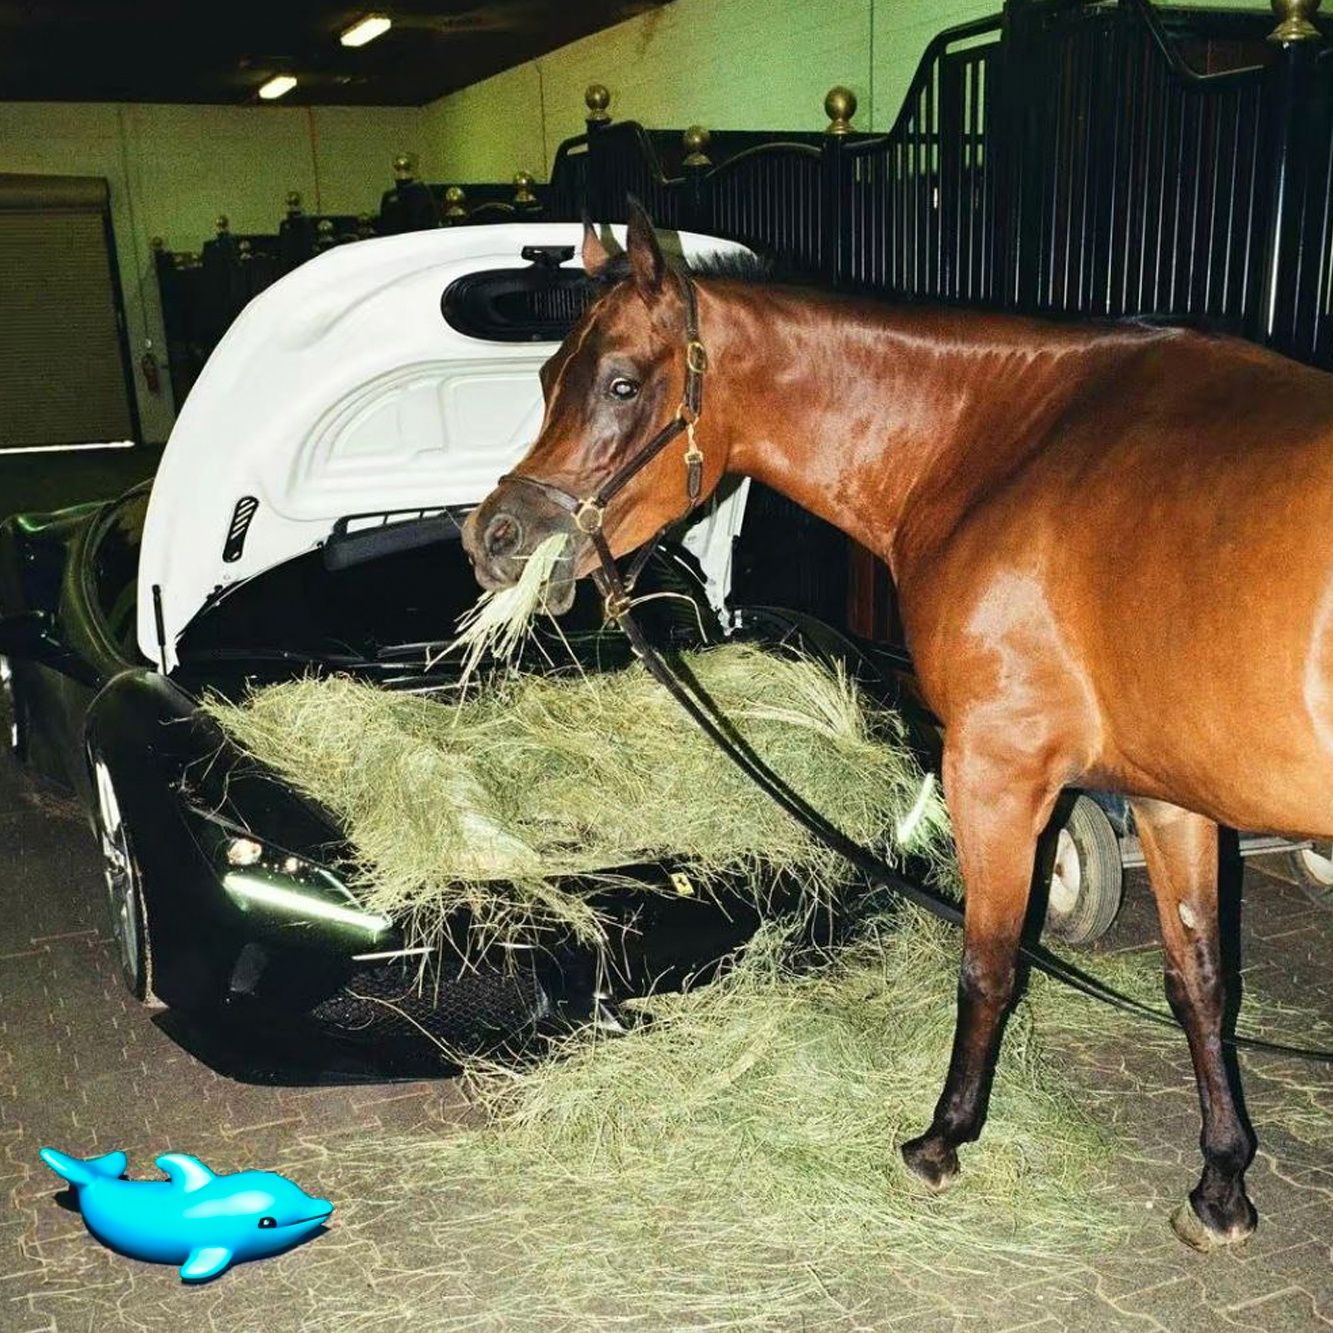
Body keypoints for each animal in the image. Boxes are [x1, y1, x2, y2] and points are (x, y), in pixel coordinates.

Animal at [462, 202, 1333, 1252]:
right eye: (548, 377)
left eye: (622, 382)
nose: (493, 537)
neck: (1004, 445)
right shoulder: (1171, 797)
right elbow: (1199, 979)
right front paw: (1220, 1183)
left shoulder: (997, 769)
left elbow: (989, 962)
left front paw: (941, 1140)